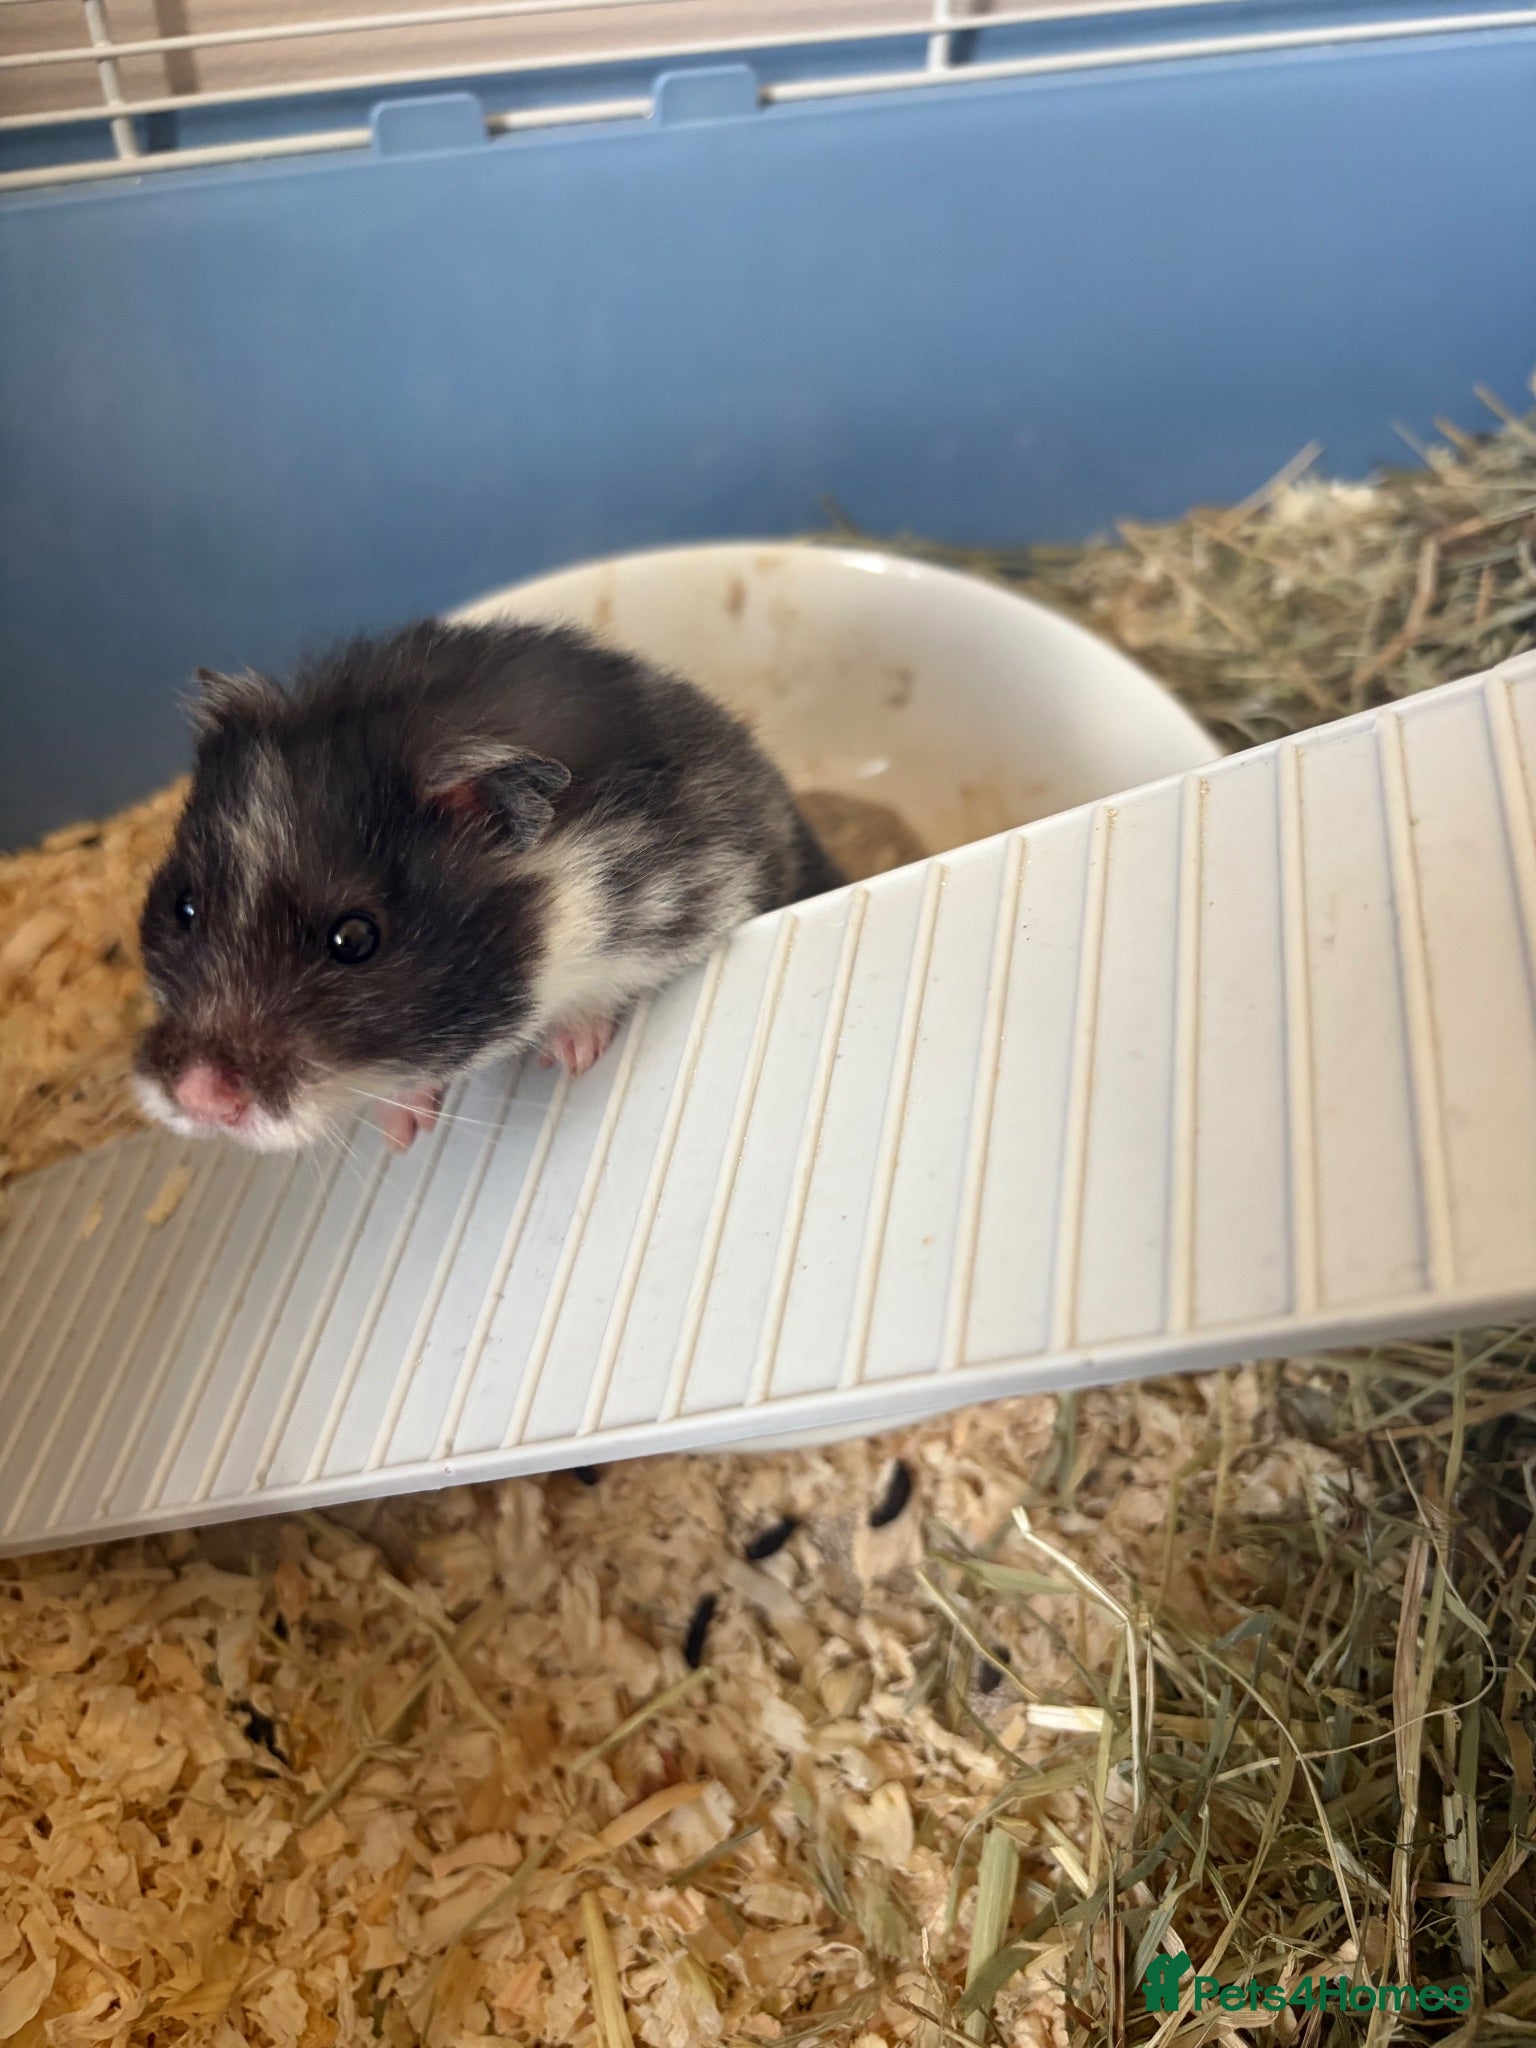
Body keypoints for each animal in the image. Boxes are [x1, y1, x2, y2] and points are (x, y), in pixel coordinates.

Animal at [133, 617, 844, 1153]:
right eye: (183, 907)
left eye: (355, 939)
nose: (199, 1099)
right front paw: (401, 1132)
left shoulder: (687, 895)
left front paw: (572, 1058)